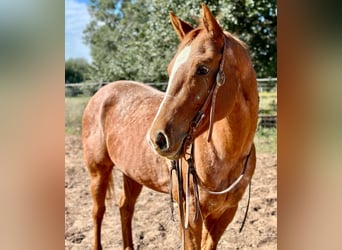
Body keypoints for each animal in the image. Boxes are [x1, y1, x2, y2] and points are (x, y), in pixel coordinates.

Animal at [83, 3, 258, 250]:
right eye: (170, 69)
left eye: (202, 69)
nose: (157, 138)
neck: (225, 155)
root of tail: (102, 92)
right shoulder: (191, 216)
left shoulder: (225, 214)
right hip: (98, 171)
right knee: (98, 211)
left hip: (132, 174)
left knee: (125, 207)